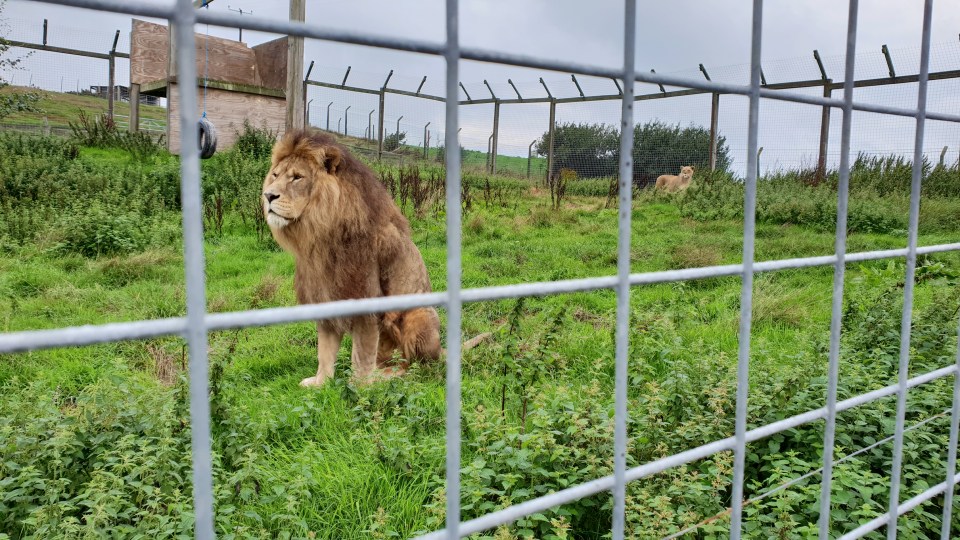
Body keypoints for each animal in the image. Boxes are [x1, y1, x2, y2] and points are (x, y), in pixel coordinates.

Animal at [262, 129, 442, 386]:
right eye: (274, 175)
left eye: (297, 177)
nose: (268, 195)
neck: (320, 238)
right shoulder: (324, 297)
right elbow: (325, 352)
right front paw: (321, 383)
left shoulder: (366, 302)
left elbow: (362, 356)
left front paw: (359, 387)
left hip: (419, 315)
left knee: (418, 366)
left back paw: (390, 376)